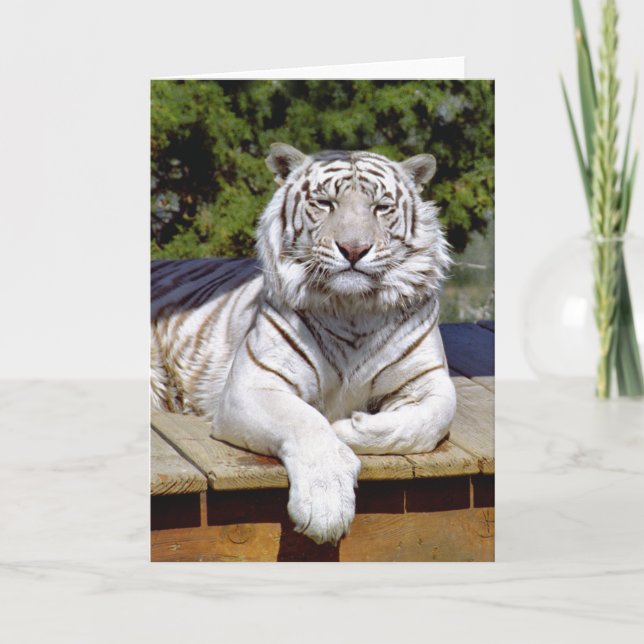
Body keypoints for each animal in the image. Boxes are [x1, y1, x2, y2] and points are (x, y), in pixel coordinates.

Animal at [151, 143, 456, 545]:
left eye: (381, 207)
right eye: (325, 203)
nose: (354, 249)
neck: (353, 309)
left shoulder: (430, 380)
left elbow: (427, 423)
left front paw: (351, 427)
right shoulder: (254, 384)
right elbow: (306, 422)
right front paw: (325, 508)